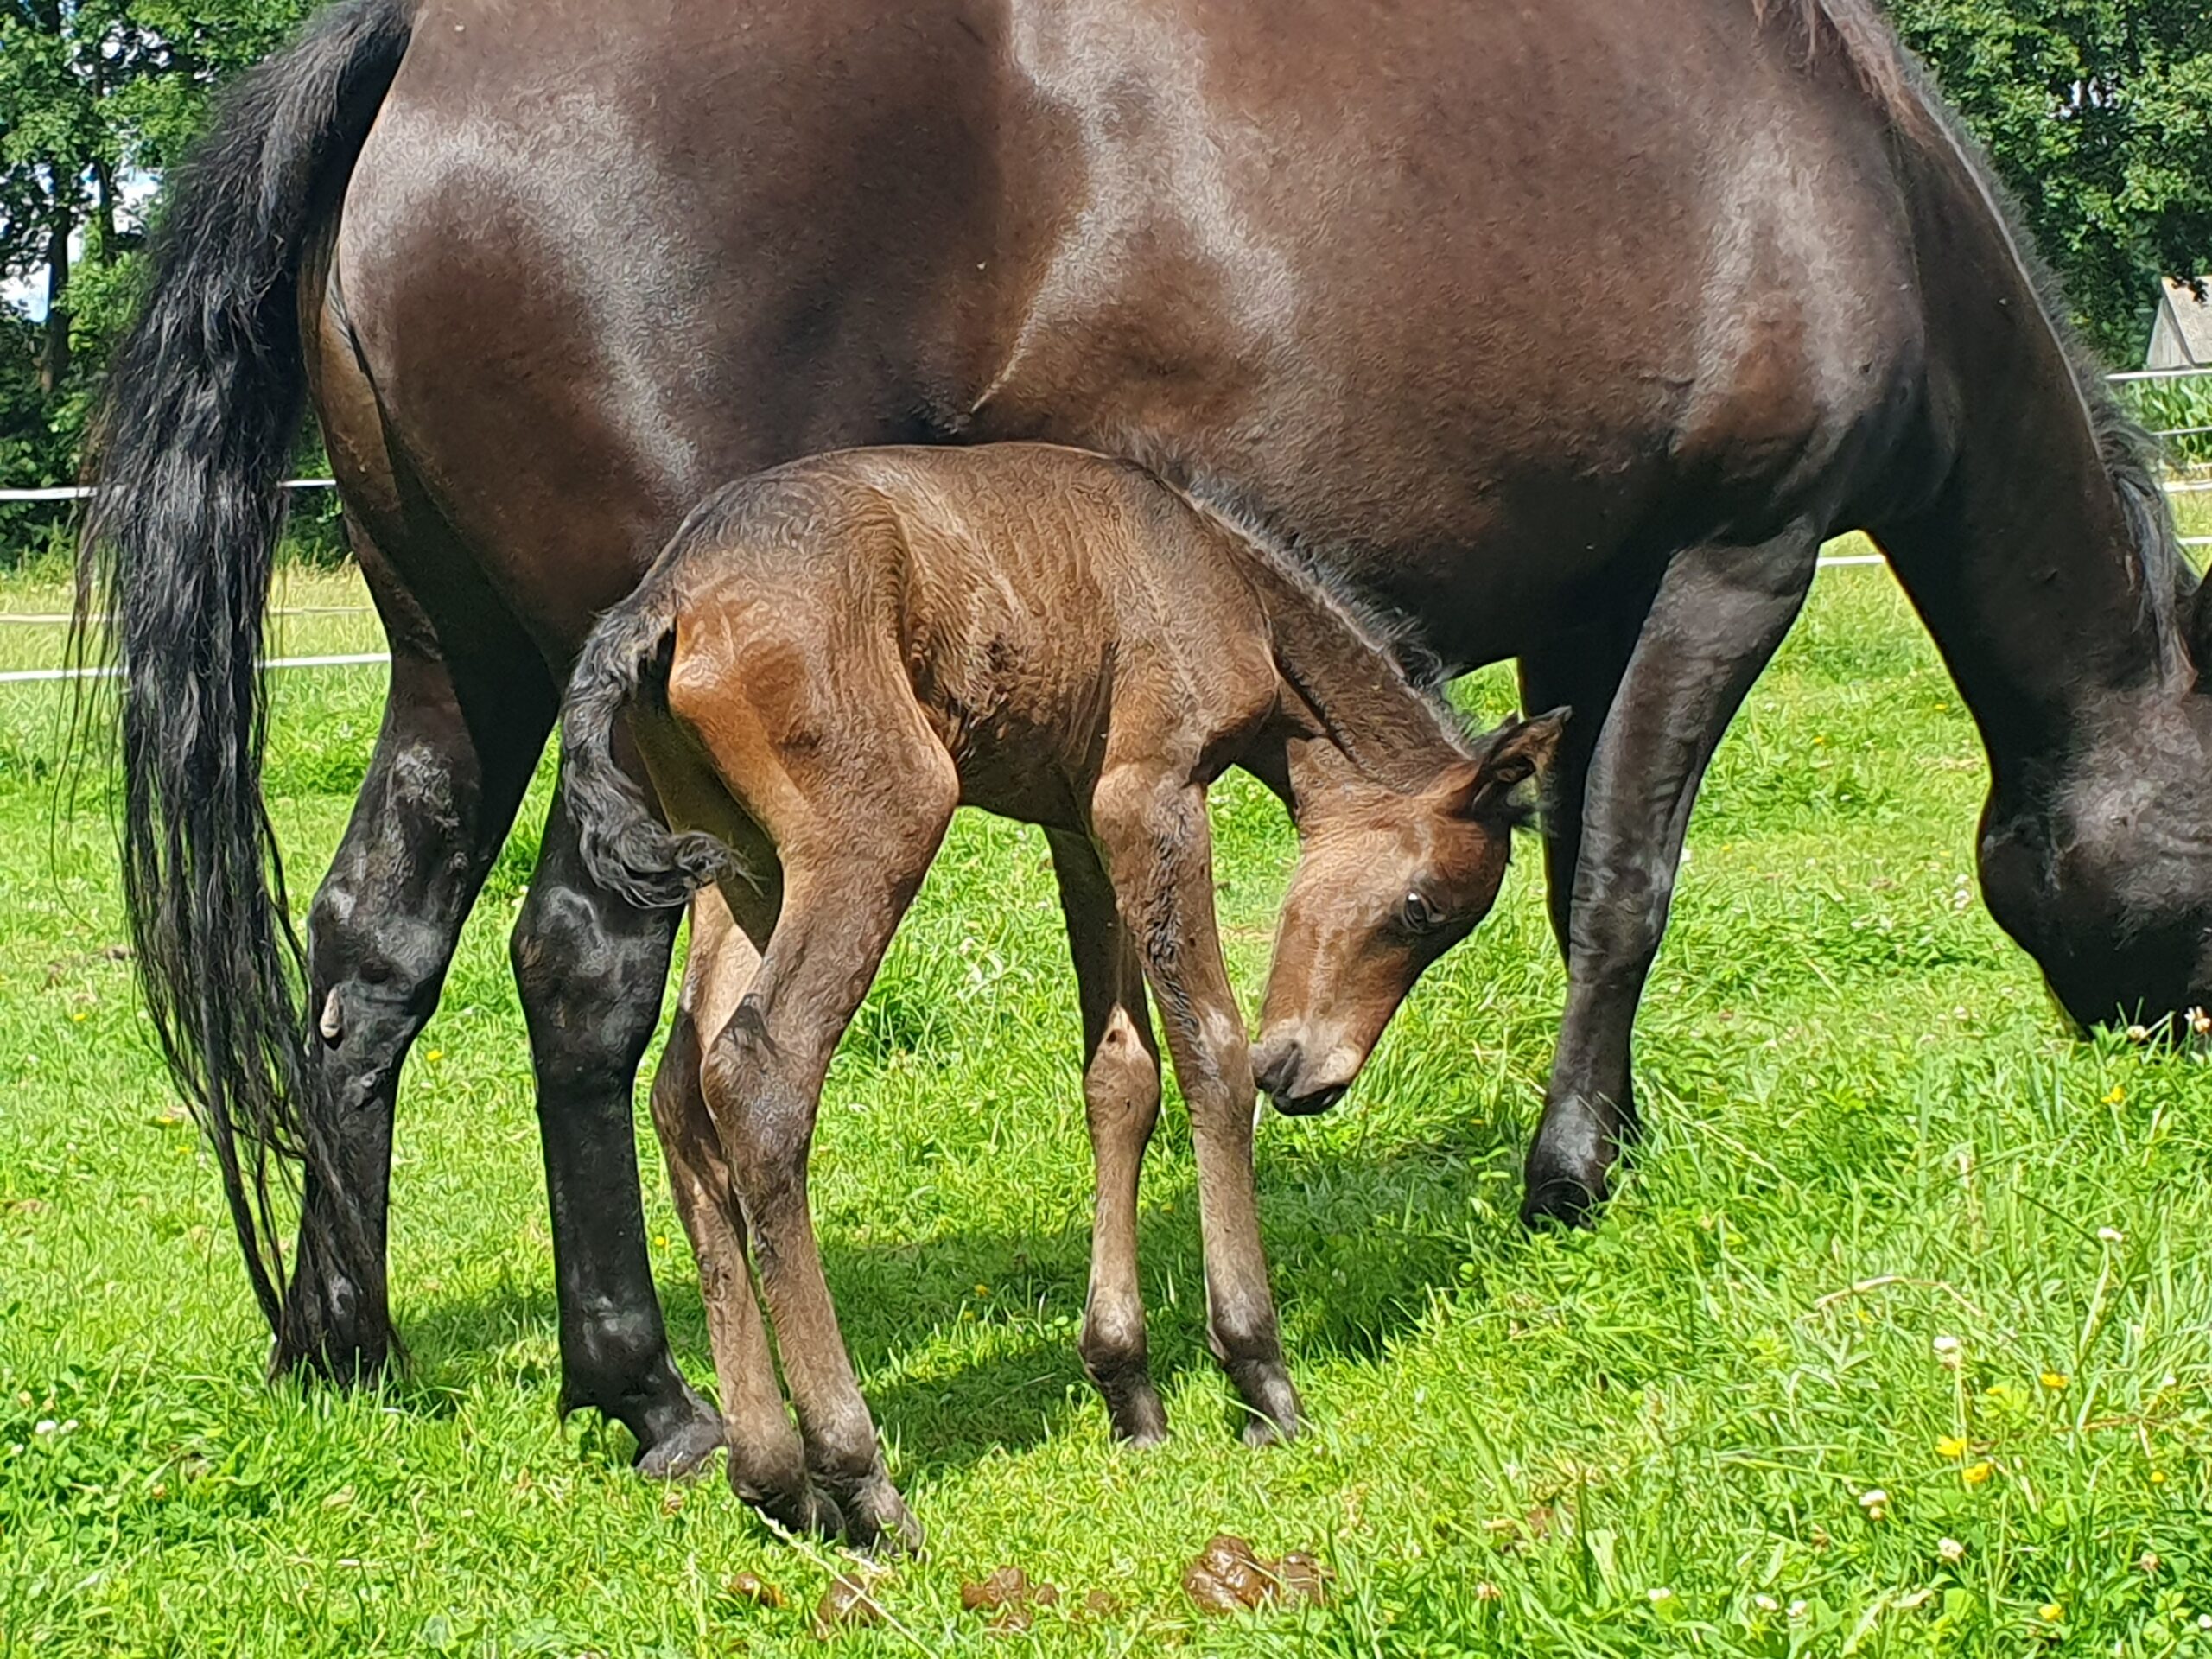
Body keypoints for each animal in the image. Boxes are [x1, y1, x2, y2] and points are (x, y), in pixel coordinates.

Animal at [562, 442, 1566, 1548]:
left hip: (739, 866)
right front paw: (1260, 1375)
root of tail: (669, 595)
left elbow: (1120, 1075)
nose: (1314, 1080)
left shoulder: (1079, 822)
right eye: (1421, 911)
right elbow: (1212, 1050)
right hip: (880, 821)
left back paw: (776, 1477)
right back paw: (859, 1480)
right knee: (758, 1073)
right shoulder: (1151, 795)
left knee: (681, 1091)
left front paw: (1129, 1390)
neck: (1221, 573)